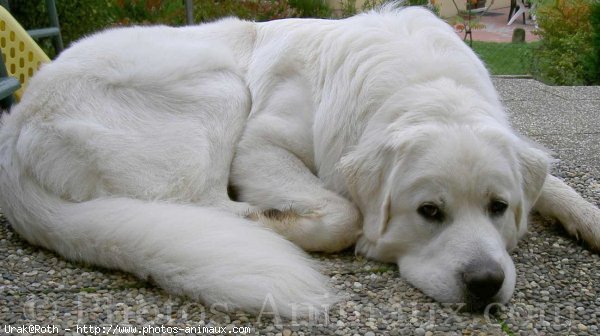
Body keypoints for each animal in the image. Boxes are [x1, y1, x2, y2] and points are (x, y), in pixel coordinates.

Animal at [1, 5, 600, 318]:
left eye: (499, 207)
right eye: (429, 212)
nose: (484, 283)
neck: (423, 88)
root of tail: (16, 128)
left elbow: (555, 184)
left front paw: (588, 219)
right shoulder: (258, 146)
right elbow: (347, 213)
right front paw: (301, 223)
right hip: (221, 88)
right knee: (195, 205)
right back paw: (259, 224)